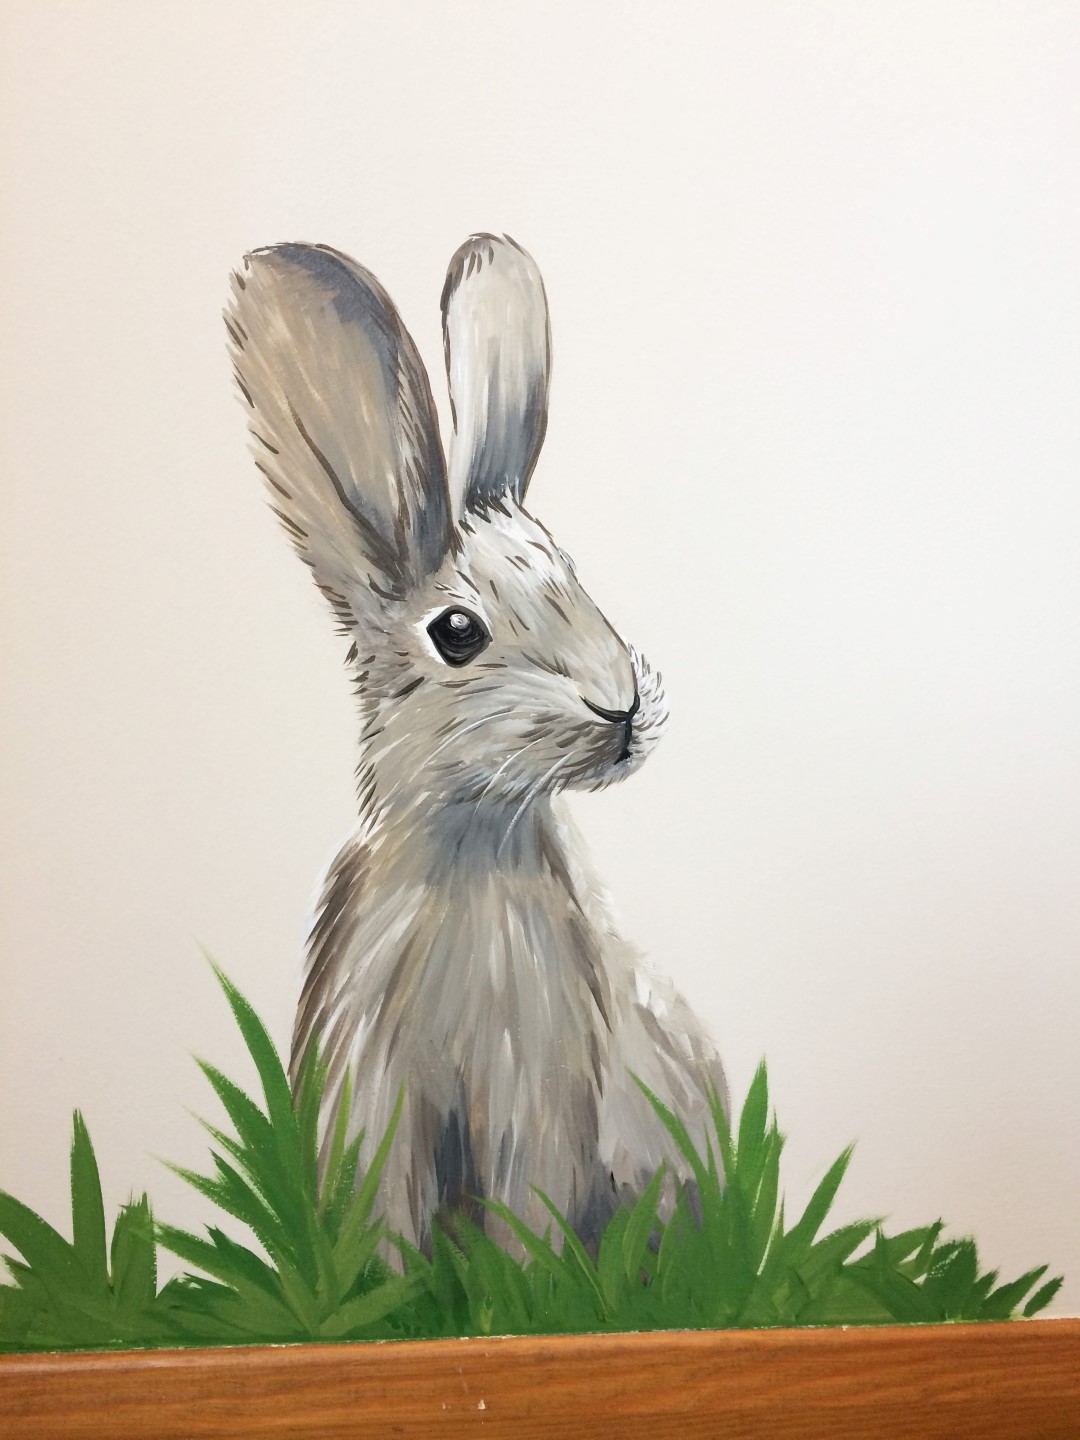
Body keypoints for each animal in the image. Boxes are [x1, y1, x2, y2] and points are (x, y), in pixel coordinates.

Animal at [225, 233, 728, 1256]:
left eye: (572, 573)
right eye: (456, 633)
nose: (621, 707)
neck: (472, 846)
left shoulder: (537, 1091)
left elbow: (527, 1216)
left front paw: (521, 1283)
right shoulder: (374, 1088)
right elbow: (378, 1223)